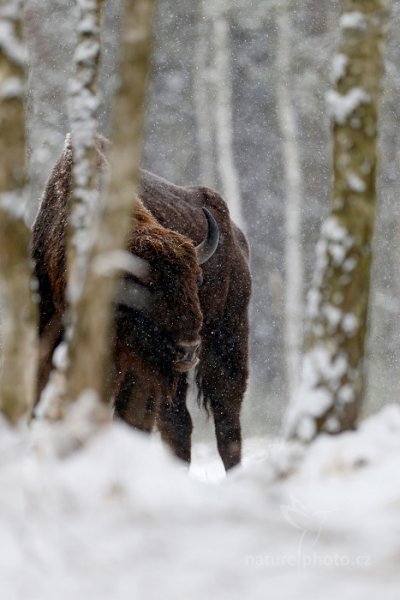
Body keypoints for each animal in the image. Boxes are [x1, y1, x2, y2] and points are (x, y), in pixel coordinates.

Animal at [32, 138, 250, 472]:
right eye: (139, 285)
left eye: (197, 278)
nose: (188, 349)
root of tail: (237, 236)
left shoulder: (138, 374)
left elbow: (130, 424)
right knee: (179, 424)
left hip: (227, 343)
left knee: (227, 421)